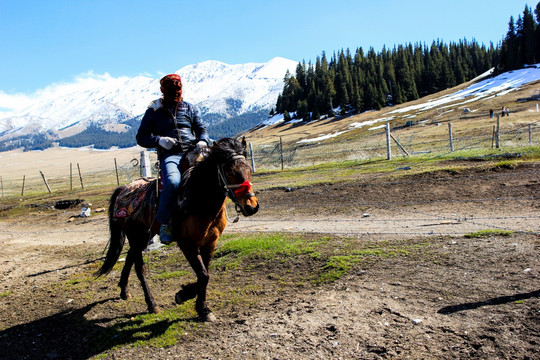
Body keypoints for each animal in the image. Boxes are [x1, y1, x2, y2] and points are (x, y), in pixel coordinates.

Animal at [95, 137, 260, 320]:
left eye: (249, 169)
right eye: (230, 172)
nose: (251, 207)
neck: (199, 200)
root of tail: (123, 189)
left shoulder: (210, 242)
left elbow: (205, 273)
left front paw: (202, 308)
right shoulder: (187, 244)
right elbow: (203, 275)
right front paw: (184, 295)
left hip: (144, 236)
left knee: (130, 257)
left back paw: (124, 290)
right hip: (136, 235)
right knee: (139, 268)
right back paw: (152, 304)